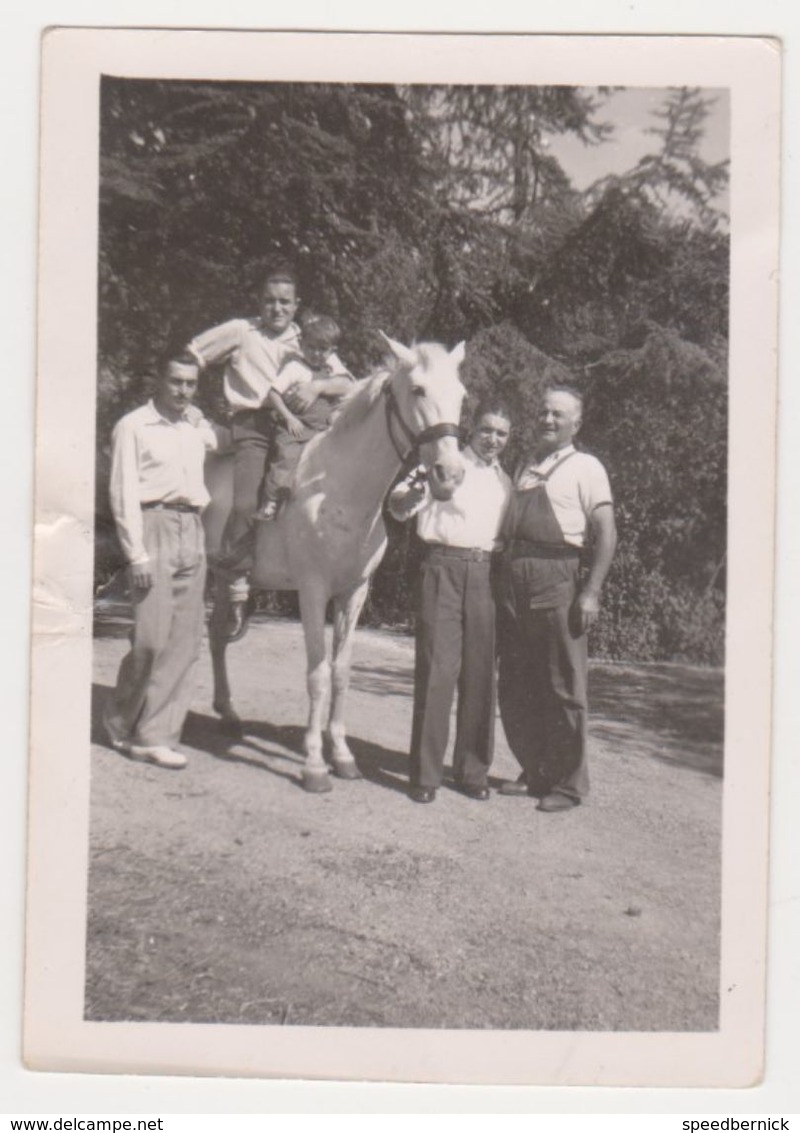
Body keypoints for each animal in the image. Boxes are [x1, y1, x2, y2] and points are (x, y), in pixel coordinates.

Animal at [202, 335, 466, 793]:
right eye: (418, 390)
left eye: (462, 396)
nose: (449, 474)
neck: (342, 491)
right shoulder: (313, 591)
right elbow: (318, 673)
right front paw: (313, 765)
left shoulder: (354, 592)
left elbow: (341, 672)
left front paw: (342, 756)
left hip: (222, 579)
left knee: (217, 638)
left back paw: (229, 714)